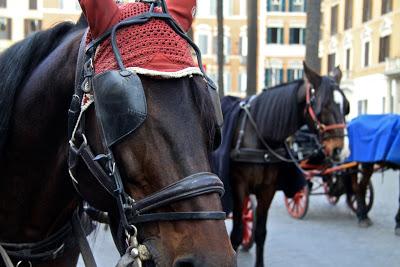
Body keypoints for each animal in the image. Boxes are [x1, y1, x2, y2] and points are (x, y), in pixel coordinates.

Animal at [225, 63, 350, 266]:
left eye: (346, 107)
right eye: (323, 106)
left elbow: (260, 233)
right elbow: (234, 235)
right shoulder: (238, 186)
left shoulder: (267, 189)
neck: (258, 132)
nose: (342, 151)